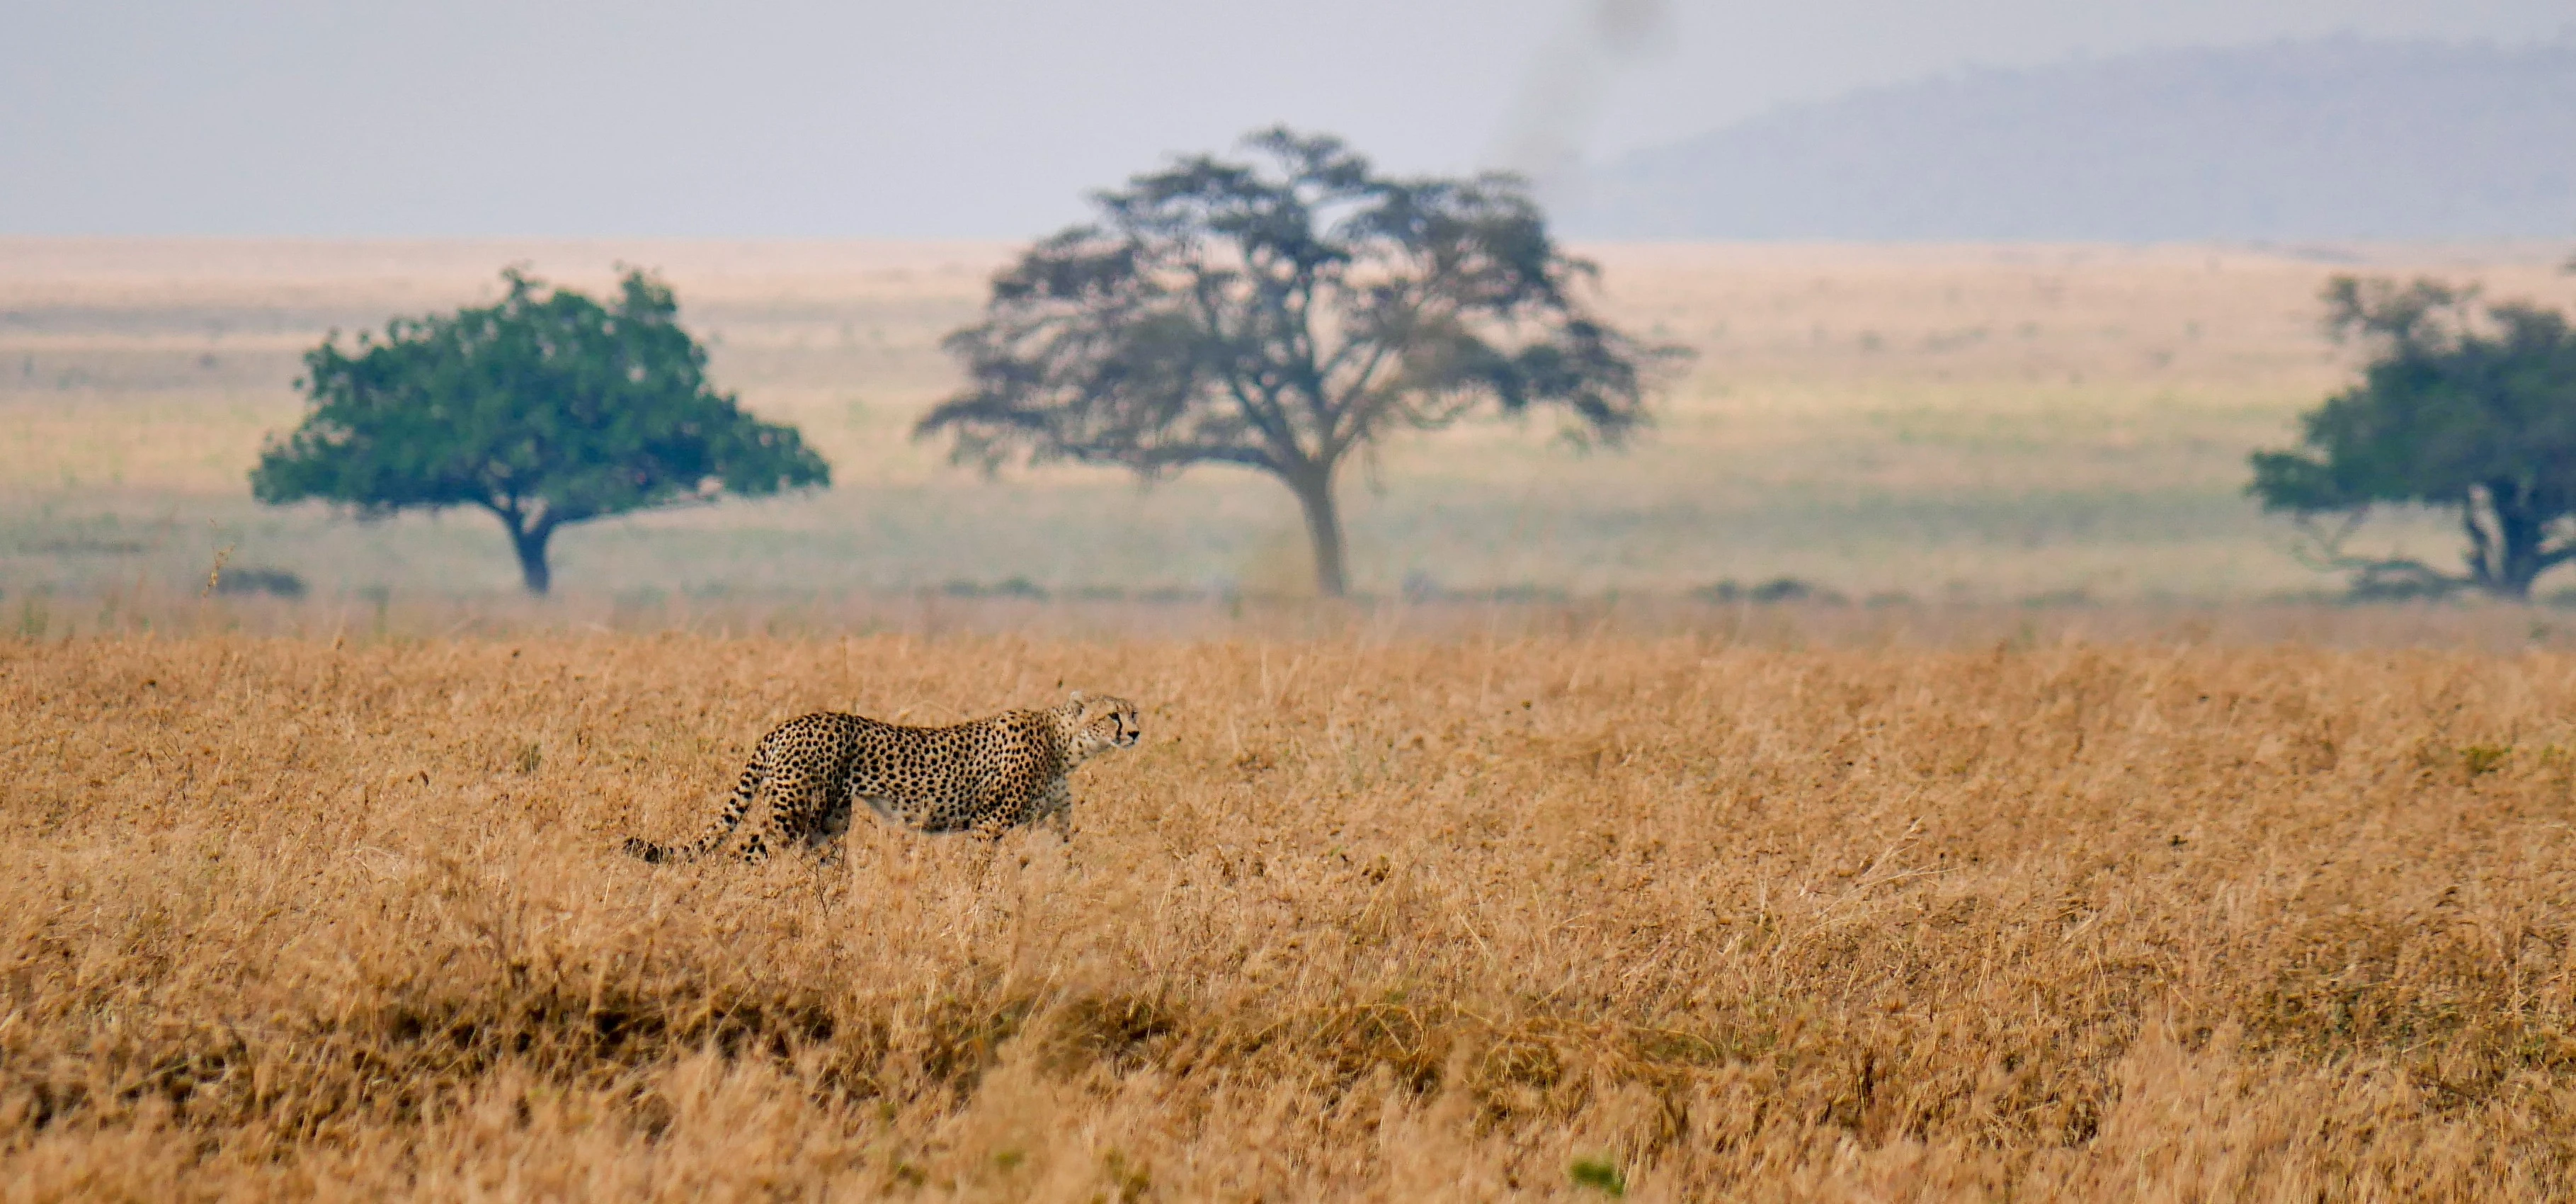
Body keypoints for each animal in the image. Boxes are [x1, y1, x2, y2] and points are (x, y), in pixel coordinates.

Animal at [621, 691, 1141, 866]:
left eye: (1134, 712)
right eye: (1112, 716)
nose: (1135, 733)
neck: (1065, 743)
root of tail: (785, 725)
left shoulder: (1056, 823)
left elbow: (1067, 857)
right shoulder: (989, 823)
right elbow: (980, 870)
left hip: (829, 821)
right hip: (791, 810)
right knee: (746, 851)